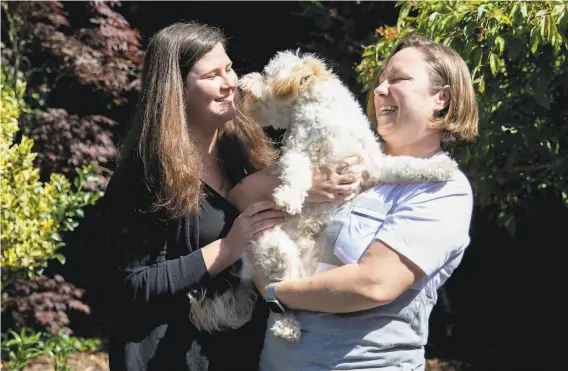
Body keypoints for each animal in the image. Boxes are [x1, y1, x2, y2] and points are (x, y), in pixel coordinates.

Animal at [189, 49, 460, 342]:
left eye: (266, 74)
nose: (241, 84)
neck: (325, 112)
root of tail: (247, 270)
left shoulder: (371, 166)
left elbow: (406, 165)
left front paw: (439, 167)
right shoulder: (296, 151)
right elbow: (296, 172)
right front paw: (289, 198)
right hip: (273, 247)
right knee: (279, 291)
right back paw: (287, 326)